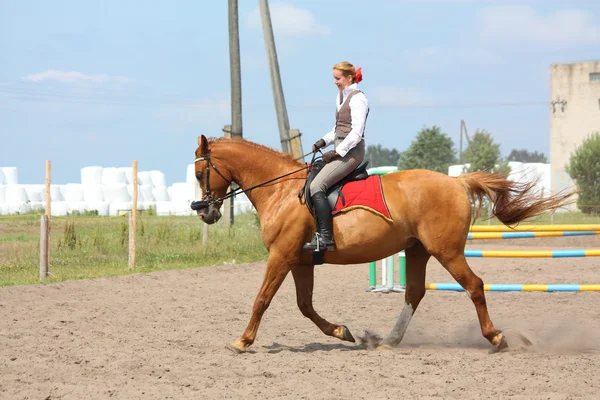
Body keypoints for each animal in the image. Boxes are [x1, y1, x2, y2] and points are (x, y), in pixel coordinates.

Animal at [191, 134, 576, 354]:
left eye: (199, 172)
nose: (205, 211)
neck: (282, 190)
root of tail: (456, 182)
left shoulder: (281, 256)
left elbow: (262, 299)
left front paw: (242, 341)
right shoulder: (299, 261)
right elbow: (304, 306)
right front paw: (342, 332)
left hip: (446, 250)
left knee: (474, 286)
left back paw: (496, 338)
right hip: (418, 250)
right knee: (415, 292)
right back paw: (389, 340)